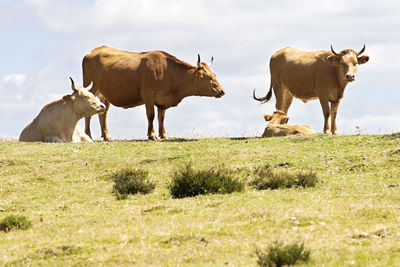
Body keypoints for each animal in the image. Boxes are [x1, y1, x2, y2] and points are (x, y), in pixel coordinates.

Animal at [82, 46, 225, 141]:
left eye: (214, 74)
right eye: (207, 76)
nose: (222, 91)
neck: (168, 72)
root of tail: (94, 51)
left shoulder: (162, 100)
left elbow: (161, 117)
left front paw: (163, 135)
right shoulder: (148, 95)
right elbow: (150, 116)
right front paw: (152, 135)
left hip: (104, 95)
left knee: (103, 113)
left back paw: (106, 136)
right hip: (91, 90)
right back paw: (88, 135)